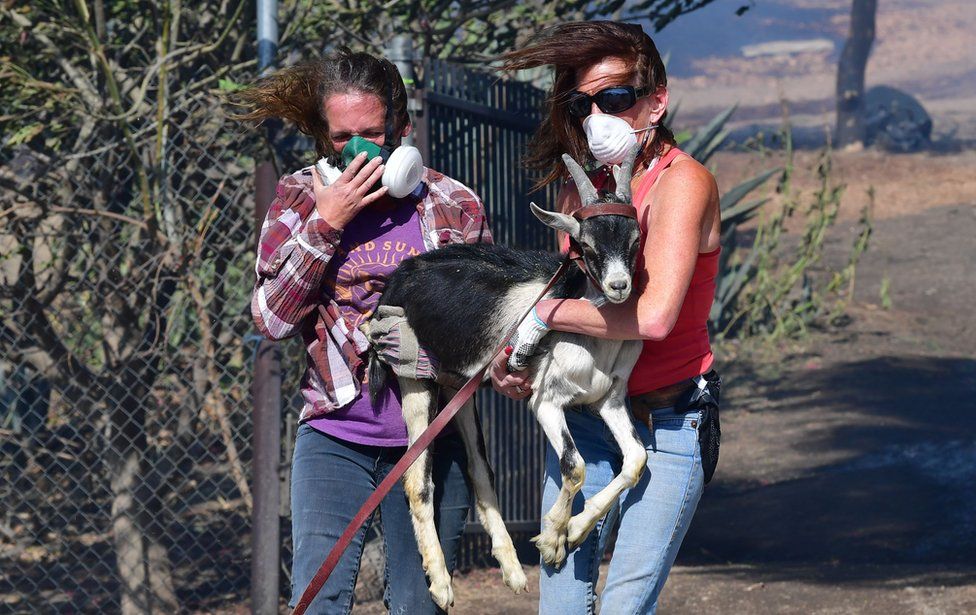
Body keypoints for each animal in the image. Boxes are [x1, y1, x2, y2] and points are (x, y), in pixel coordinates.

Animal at [366, 149, 648, 612]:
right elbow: (574, 465)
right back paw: (440, 582)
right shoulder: (545, 400)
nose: (619, 286)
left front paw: (574, 531)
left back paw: (513, 571)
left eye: (635, 240)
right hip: (414, 379)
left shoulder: (610, 398)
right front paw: (552, 538)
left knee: (480, 470)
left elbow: (637, 460)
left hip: (457, 389)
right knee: (415, 479)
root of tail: (400, 276)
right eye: (586, 246)